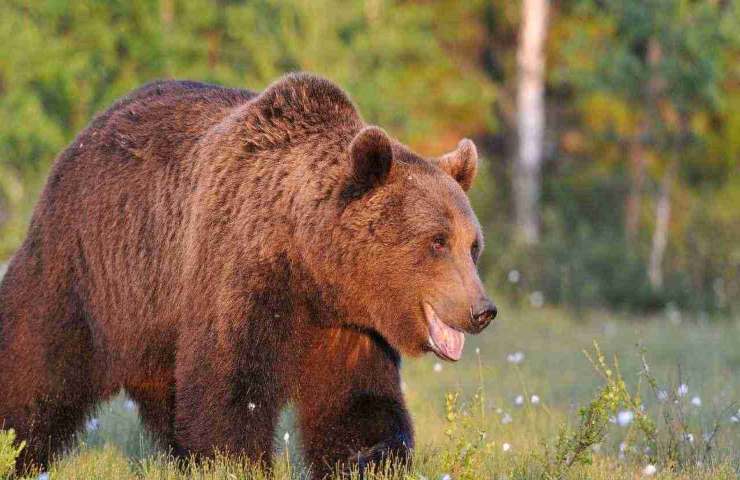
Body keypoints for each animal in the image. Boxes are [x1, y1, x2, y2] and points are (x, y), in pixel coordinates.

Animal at [1, 71, 498, 476]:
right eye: (436, 241)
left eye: (472, 245)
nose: (481, 310)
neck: (312, 266)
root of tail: (86, 132)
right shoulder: (241, 272)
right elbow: (230, 388)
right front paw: (236, 462)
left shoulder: (349, 326)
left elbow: (358, 404)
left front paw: (368, 460)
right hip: (88, 268)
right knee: (36, 362)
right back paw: (15, 448)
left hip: (154, 318)